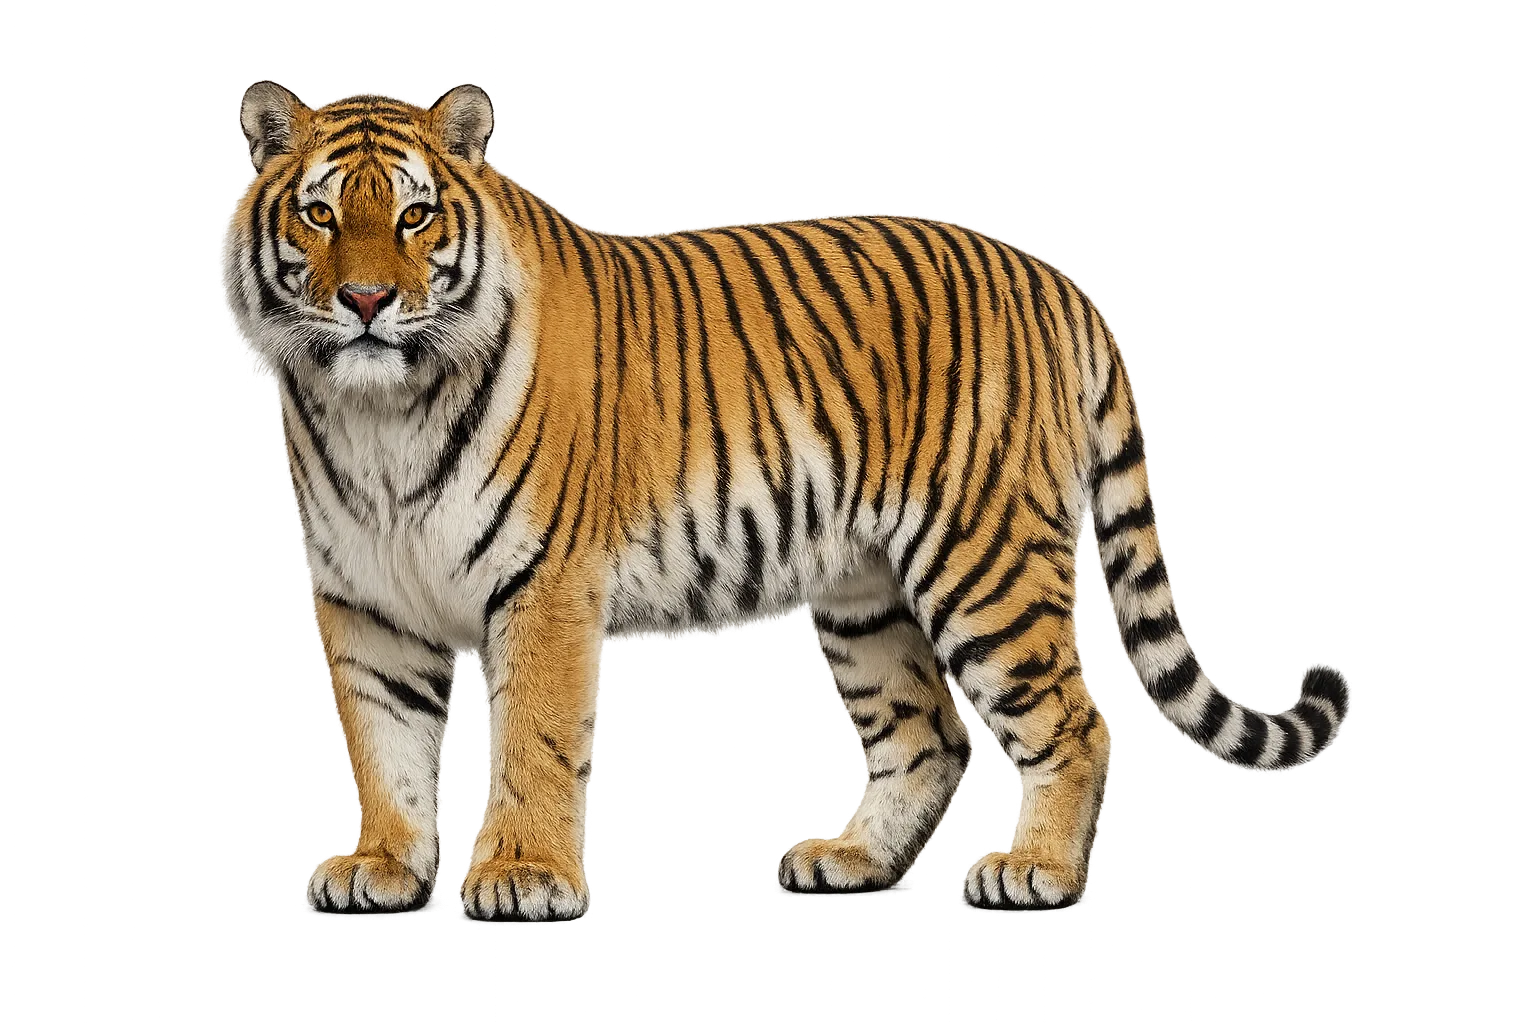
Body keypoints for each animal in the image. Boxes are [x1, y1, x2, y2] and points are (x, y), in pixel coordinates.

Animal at [222, 81, 1348, 922]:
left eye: (416, 215)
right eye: (321, 213)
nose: (368, 301)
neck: (377, 413)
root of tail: (1045, 275)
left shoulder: (542, 585)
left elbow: (530, 738)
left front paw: (525, 876)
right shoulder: (363, 595)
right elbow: (383, 743)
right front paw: (382, 864)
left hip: (984, 559)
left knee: (1070, 718)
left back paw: (1038, 871)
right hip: (865, 592)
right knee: (927, 733)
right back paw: (851, 861)